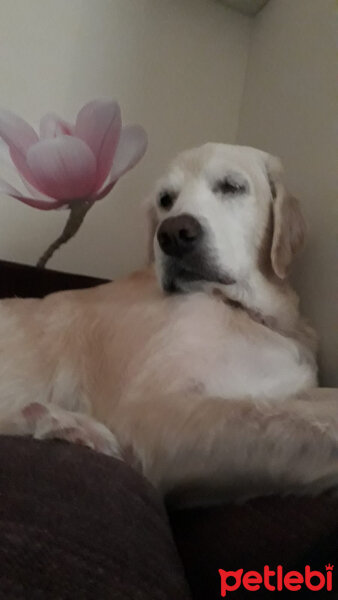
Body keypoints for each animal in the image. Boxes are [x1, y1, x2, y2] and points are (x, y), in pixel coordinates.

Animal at [0, 143, 338, 504]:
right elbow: (301, 423)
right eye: (165, 199)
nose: (174, 234)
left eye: (232, 186)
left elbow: (307, 406)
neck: (243, 309)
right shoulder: (150, 413)